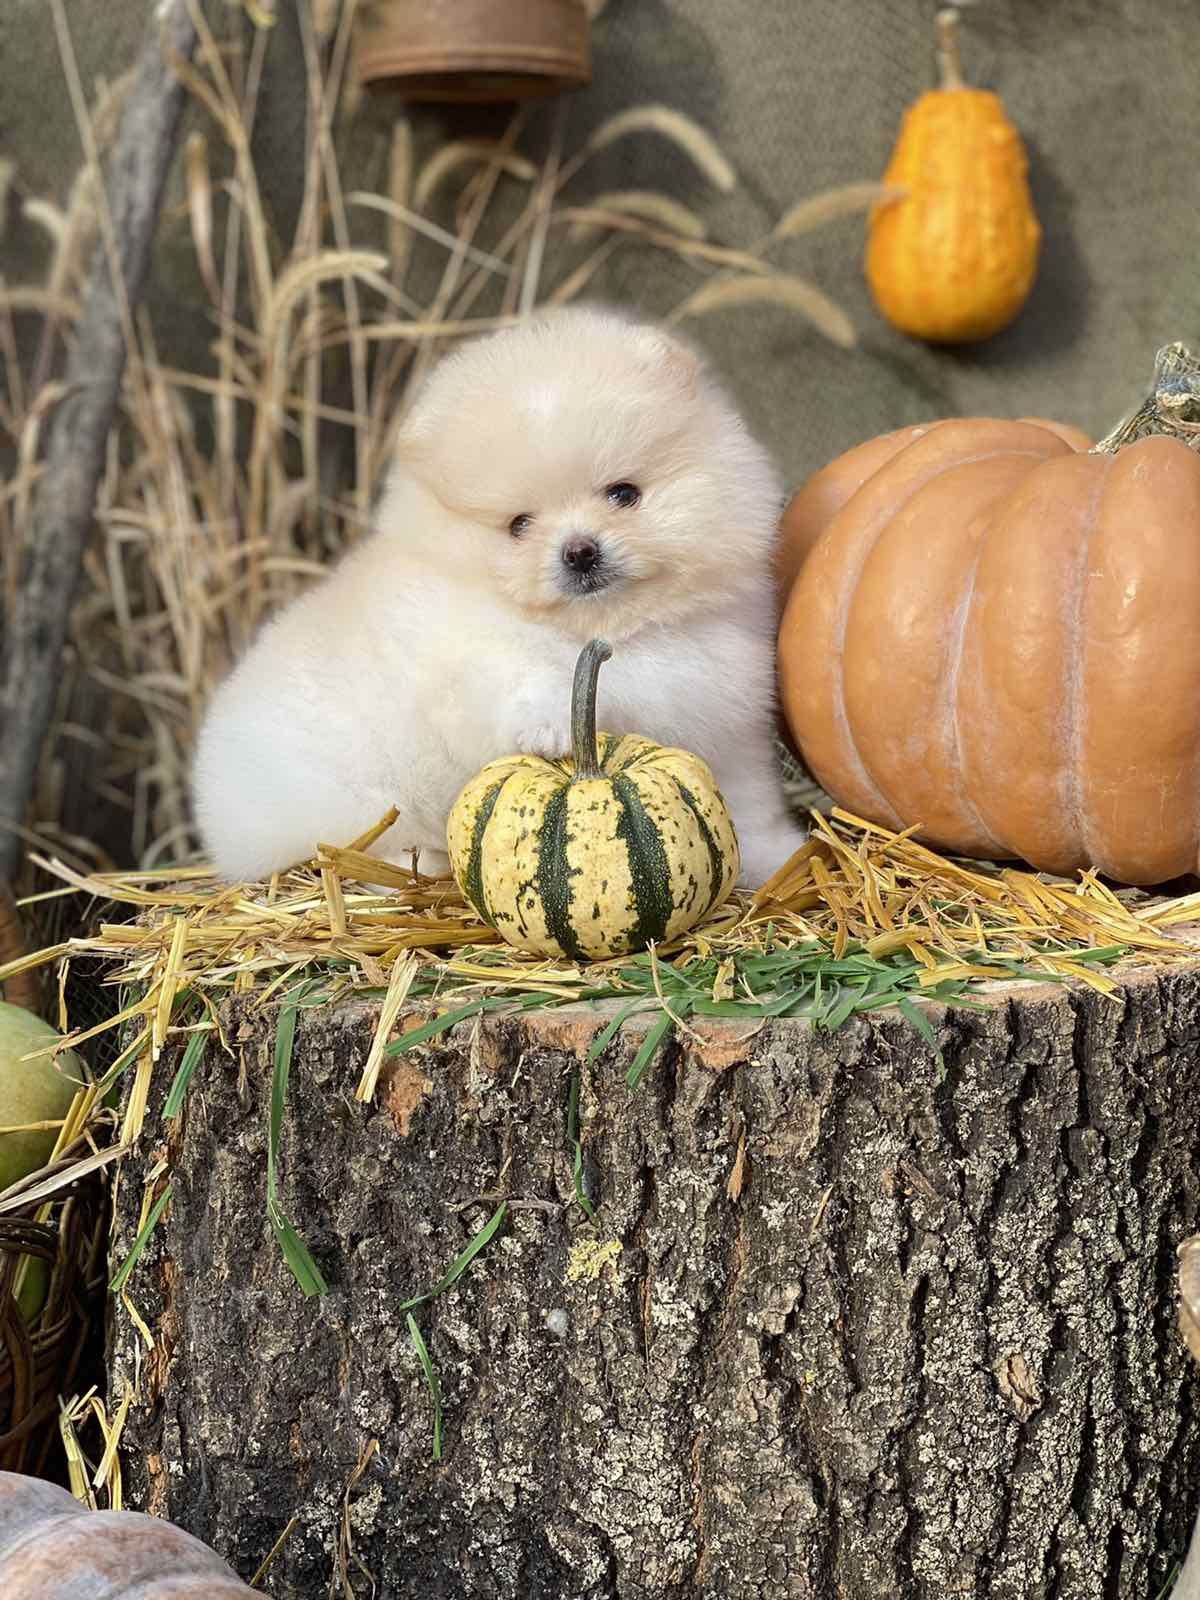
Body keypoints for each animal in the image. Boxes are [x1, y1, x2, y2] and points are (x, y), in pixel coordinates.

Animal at [195, 305, 809, 883]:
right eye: (519, 525)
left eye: (624, 493)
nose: (580, 551)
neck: (612, 630)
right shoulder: (464, 667)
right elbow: (519, 682)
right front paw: (549, 726)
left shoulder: (728, 725)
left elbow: (746, 805)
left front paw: (777, 856)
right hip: (349, 801)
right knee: (345, 852)